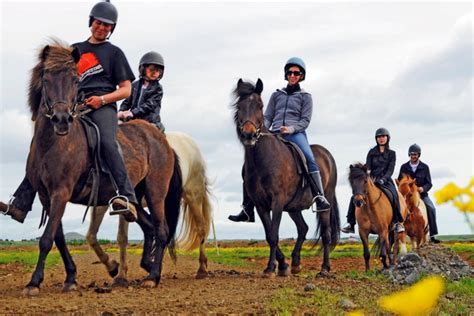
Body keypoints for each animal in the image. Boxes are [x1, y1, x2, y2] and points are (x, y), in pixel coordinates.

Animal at [21, 40, 181, 296]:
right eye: (46, 79)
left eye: (75, 80)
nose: (62, 120)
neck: (52, 144)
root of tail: (162, 140)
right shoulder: (47, 196)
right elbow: (58, 238)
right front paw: (71, 278)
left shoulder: (61, 193)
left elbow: (46, 239)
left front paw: (34, 282)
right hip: (136, 197)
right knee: (149, 228)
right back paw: (141, 268)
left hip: (156, 193)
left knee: (162, 229)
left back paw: (153, 276)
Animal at [87, 131, 213, 284]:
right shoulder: (104, 204)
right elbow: (91, 236)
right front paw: (114, 269)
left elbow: (122, 237)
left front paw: (121, 276)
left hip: (193, 195)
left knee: (200, 230)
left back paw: (202, 270)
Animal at [231, 79, 338, 276]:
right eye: (239, 106)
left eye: (260, 105)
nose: (249, 135)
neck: (264, 160)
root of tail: (326, 155)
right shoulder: (260, 205)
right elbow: (269, 235)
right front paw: (282, 266)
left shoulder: (277, 201)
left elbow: (274, 234)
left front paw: (271, 268)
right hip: (294, 207)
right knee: (303, 228)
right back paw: (295, 263)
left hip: (324, 203)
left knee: (326, 234)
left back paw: (324, 269)